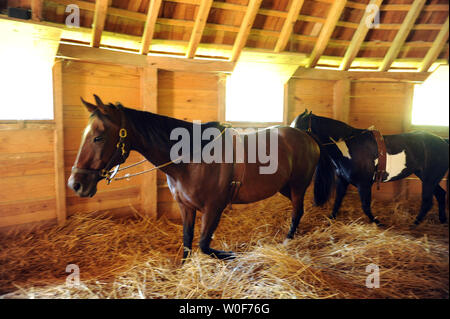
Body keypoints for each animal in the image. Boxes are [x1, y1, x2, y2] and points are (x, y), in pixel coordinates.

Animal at [67, 96, 334, 262]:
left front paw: (230, 255)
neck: (192, 159)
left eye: (99, 137)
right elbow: (187, 242)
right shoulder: (186, 207)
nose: (75, 184)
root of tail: (306, 135)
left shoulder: (213, 208)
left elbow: (204, 245)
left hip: (298, 186)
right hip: (284, 187)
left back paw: (288, 241)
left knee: (297, 212)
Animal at [290, 111, 448, 226]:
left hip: (429, 180)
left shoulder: (364, 184)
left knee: (427, 202)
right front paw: (331, 219)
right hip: (429, 179)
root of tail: (443, 141)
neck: (350, 146)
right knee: (440, 195)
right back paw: (442, 220)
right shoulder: (342, 181)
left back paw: (414, 224)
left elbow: (365, 206)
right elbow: (337, 202)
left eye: (299, 128)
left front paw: (378, 223)